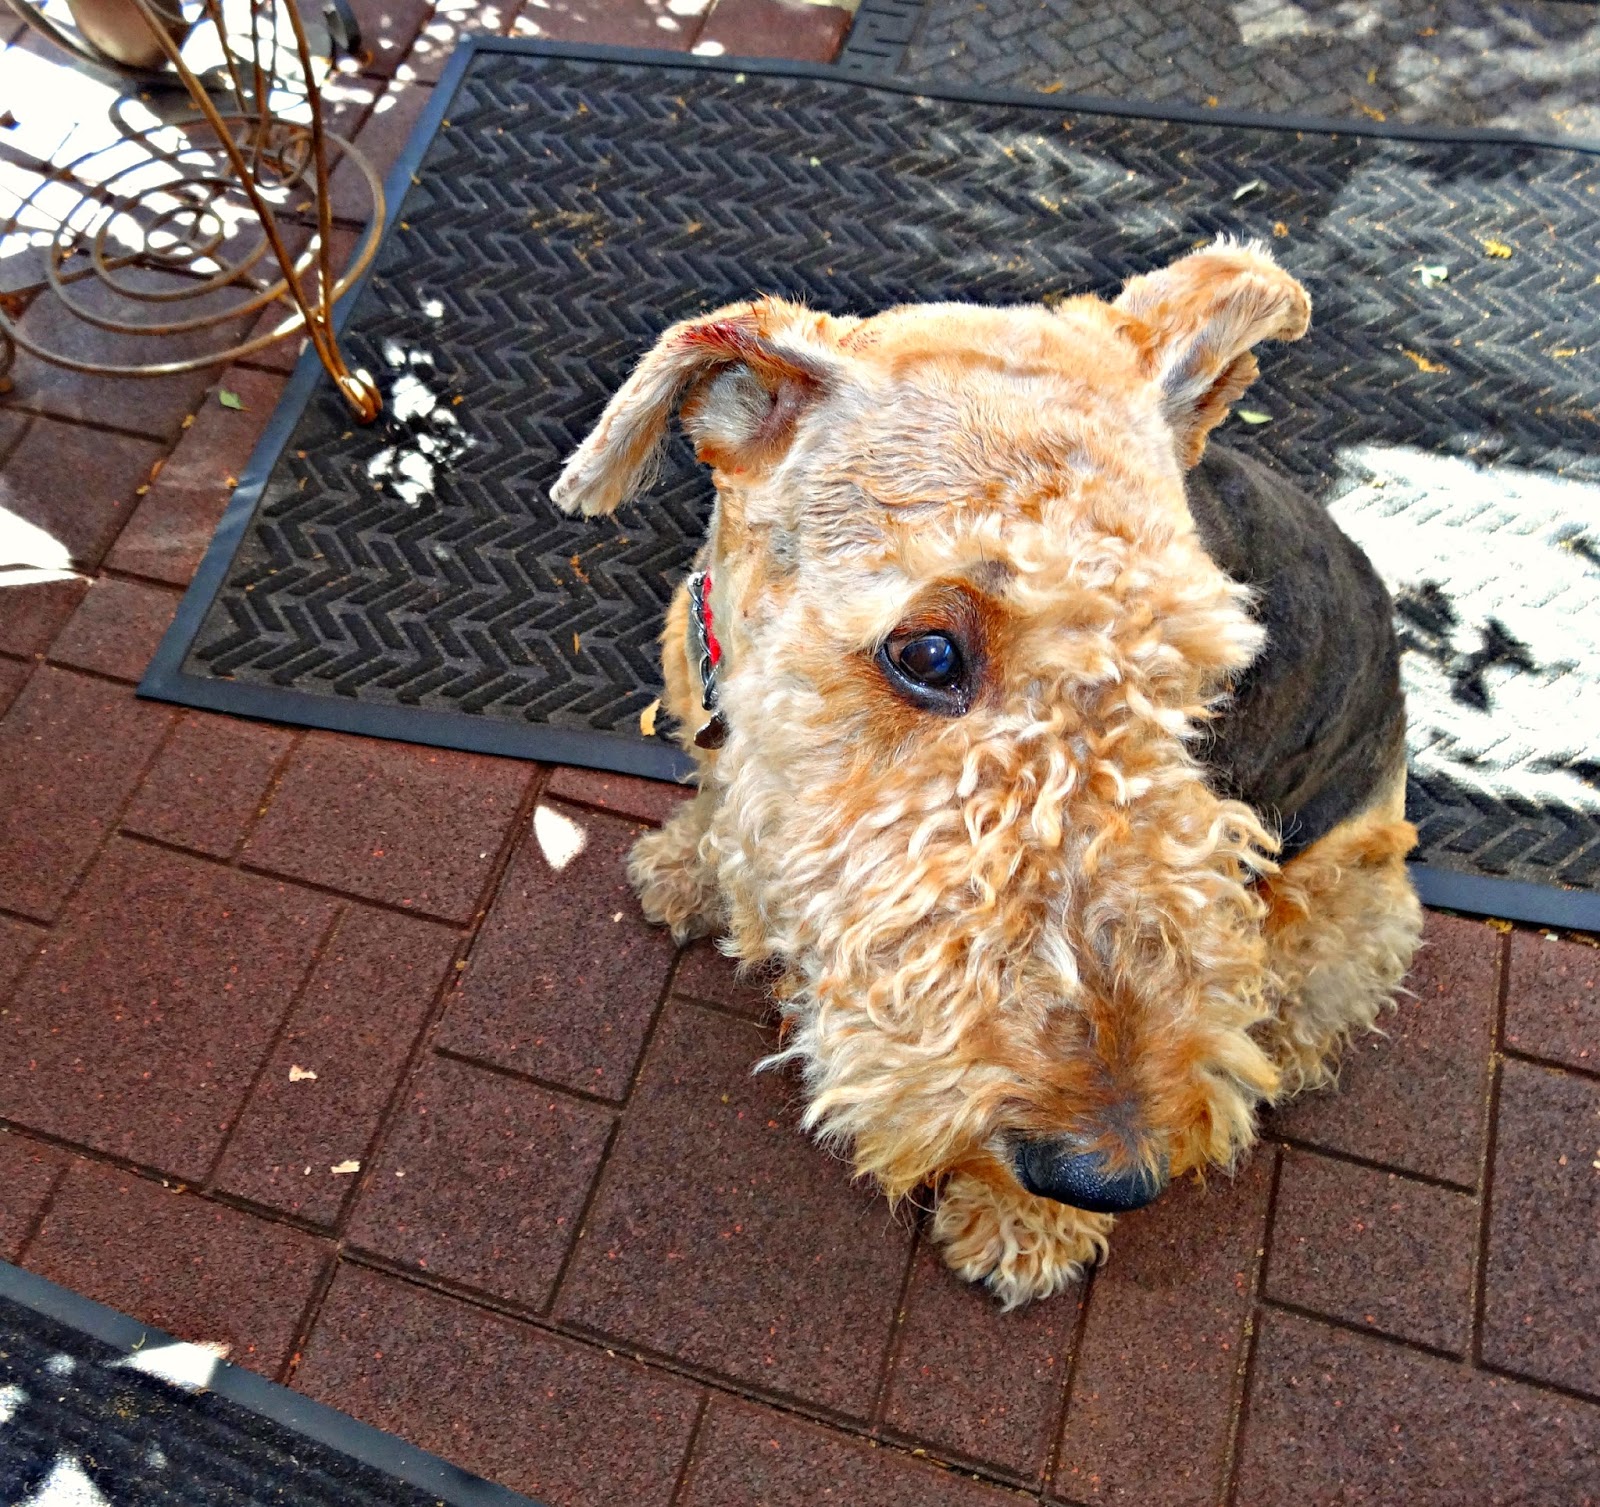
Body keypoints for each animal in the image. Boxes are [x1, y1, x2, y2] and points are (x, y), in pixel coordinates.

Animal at [551, 240, 1423, 1307]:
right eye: (926, 653)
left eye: (1197, 684)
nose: (1108, 1174)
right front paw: (690, 871)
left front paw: (1026, 1227)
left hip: (1346, 877)